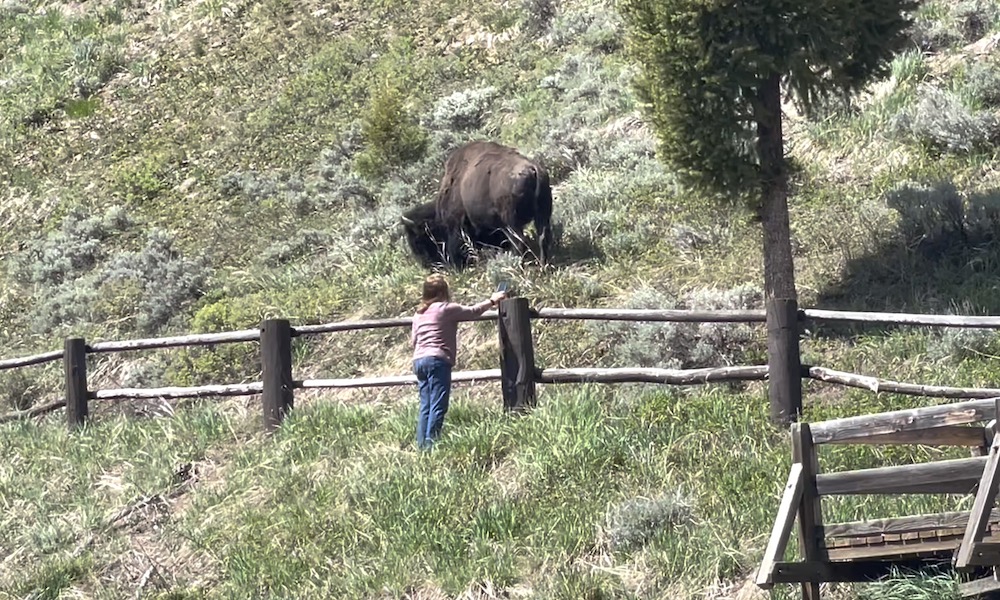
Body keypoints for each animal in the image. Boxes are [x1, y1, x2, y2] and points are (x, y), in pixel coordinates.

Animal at [400, 142, 556, 268]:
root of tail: (533, 169)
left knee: (519, 243)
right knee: (543, 237)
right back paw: (544, 266)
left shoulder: (457, 226)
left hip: (511, 222)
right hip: (542, 214)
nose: (426, 264)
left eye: (418, 239)